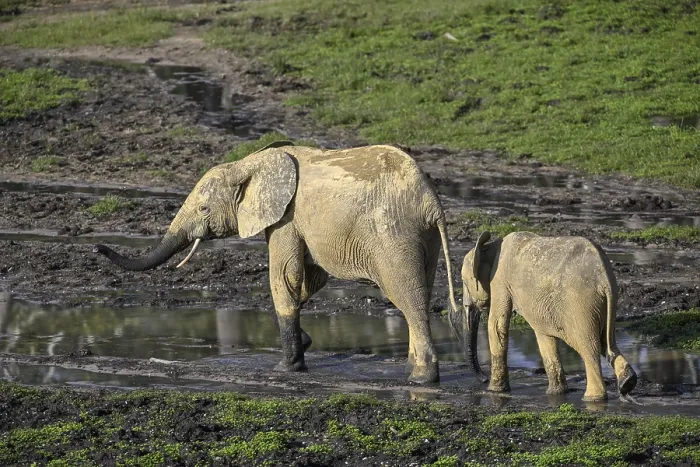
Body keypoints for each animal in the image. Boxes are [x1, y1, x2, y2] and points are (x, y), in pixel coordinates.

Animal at [95, 141, 481, 383]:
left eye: (204, 209)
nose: (99, 248)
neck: (249, 163)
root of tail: (431, 201)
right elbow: (309, 281)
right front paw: (305, 343)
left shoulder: (286, 219)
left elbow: (285, 277)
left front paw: (285, 369)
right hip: (423, 237)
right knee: (421, 291)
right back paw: (412, 373)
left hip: (394, 234)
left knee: (407, 298)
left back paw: (420, 379)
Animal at [449, 230, 637, 401]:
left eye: (464, 281)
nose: (483, 379)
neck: (489, 246)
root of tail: (604, 278)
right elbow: (543, 334)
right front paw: (556, 393)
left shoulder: (500, 280)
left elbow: (496, 325)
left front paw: (493, 391)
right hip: (603, 302)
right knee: (607, 342)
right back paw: (627, 382)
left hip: (580, 303)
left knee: (589, 346)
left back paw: (593, 398)